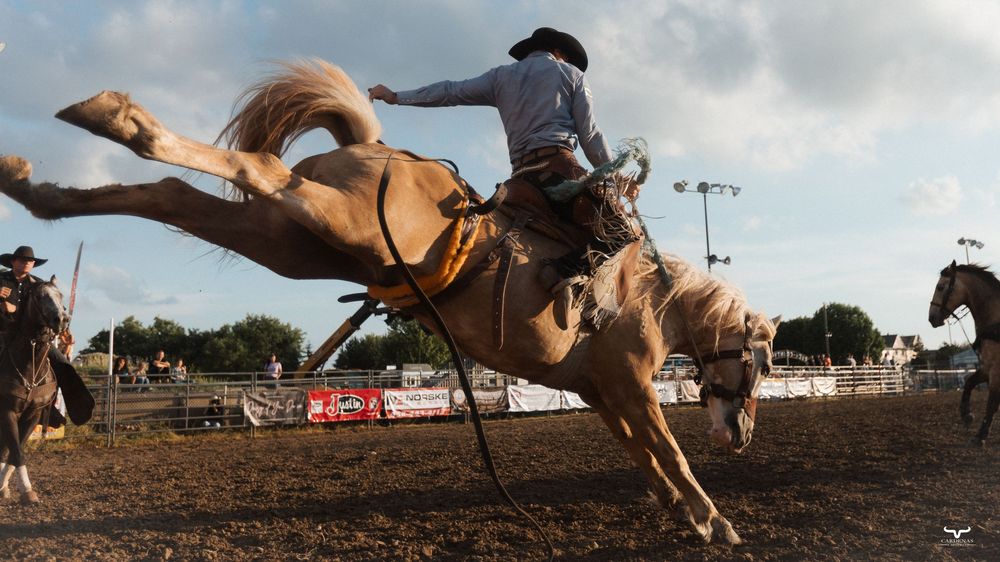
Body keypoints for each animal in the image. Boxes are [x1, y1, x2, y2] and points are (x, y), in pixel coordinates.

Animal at [0, 278, 67, 503]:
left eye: (60, 295)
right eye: (39, 296)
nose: (61, 319)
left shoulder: (33, 414)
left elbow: (16, 450)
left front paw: (20, 489)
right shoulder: (7, 411)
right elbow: (16, 451)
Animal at [928, 260, 1000, 446]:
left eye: (940, 287)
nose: (931, 318)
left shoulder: (996, 371)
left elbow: (991, 404)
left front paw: (981, 435)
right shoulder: (986, 368)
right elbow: (969, 382)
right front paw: (966, 415)